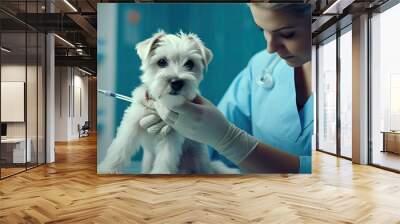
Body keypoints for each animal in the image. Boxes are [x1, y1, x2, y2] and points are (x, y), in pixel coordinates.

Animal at [99, 30, 239, 175]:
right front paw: (108, 169)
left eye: (189, 63)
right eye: (161, 62)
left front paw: (161, 173)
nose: (176, 82)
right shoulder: (132, 123)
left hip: (198, 157)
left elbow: (166, 158)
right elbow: (120, 148)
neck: (164, 104)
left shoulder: (172, 135)